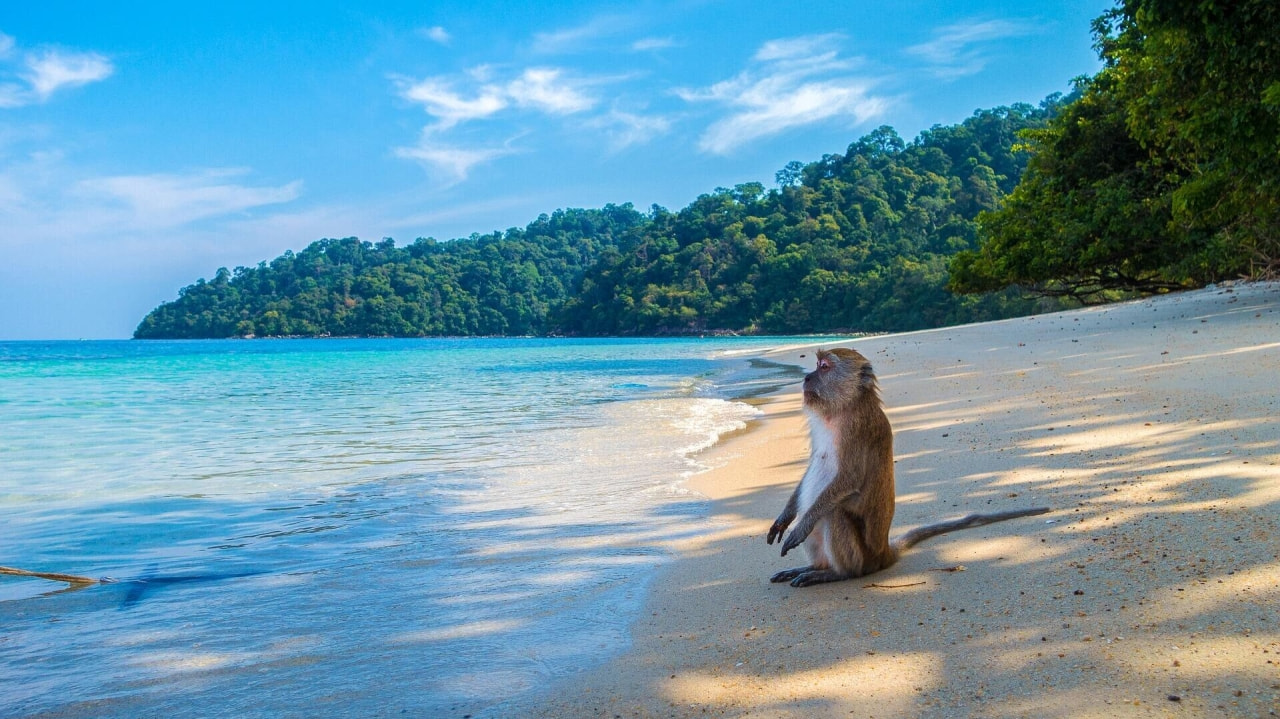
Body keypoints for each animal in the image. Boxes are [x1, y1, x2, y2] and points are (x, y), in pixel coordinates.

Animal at [762, 347, 1044, 588]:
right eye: (816, 366)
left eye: (824, 367)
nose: (807, 377)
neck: (845, 407)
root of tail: (883, 553)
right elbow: (811, 469)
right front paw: (785, 518)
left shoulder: (857, 430)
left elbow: (849, 480)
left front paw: (801, 526)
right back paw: (813, 568)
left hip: (862, 557)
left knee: (833, 513)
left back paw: (836, 573)